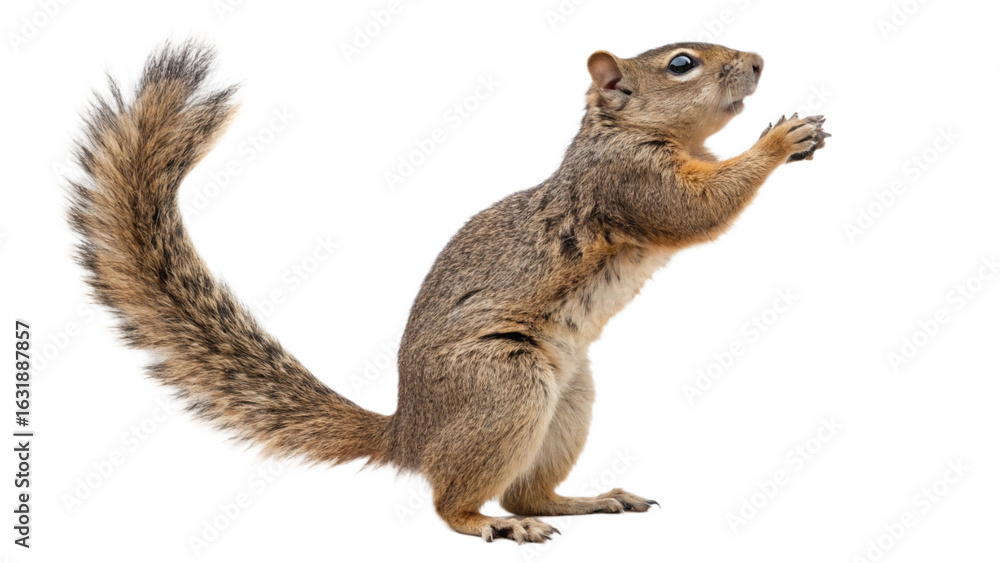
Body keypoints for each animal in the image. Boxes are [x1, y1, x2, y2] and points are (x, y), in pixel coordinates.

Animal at [68, 40, 828, 543]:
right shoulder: (628, 183)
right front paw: (778, 142)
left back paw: (585, 501)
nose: (758, 62)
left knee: (529, 491)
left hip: (567, 400)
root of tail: (410, 433)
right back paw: (491, 525)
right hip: (504, 389)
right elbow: (697, 211)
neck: (628, 132)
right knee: (451, 502)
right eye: (681, 64)